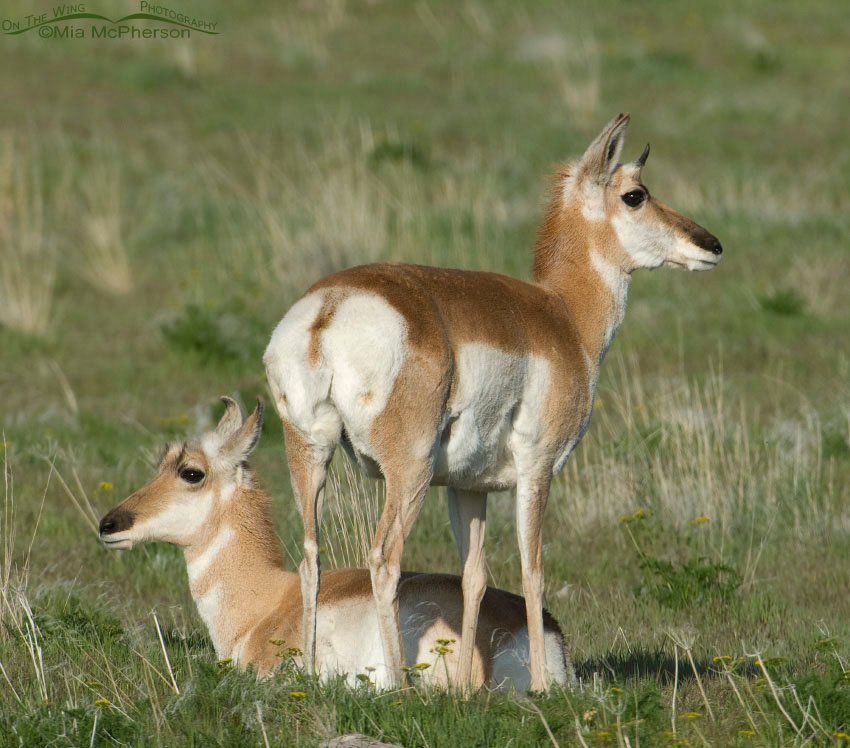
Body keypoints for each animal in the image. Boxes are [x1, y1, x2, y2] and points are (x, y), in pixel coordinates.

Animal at [263, 113, 723, 690]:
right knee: (384, 560)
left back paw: (306, 674)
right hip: (408, 474)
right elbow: (533, 569)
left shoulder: (468, 488)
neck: (562, 315)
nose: (711, 244)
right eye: (635, 194)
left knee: (311, 559)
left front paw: (464, 689)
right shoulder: (537, 469)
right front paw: (544, 687)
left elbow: (474, 577)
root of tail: (330, 306)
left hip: (310, 457)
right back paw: (400, 686)